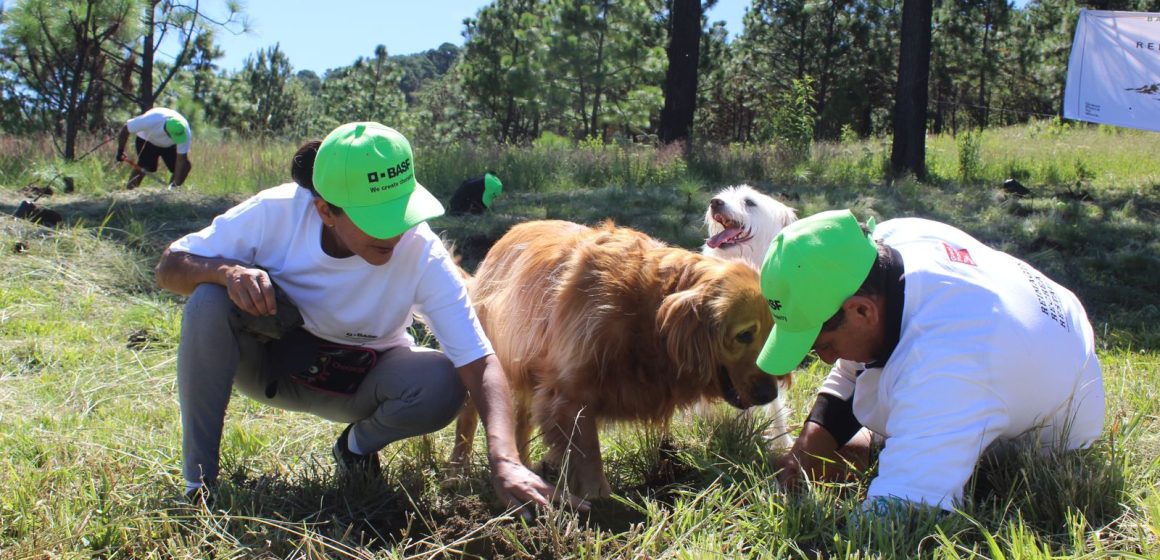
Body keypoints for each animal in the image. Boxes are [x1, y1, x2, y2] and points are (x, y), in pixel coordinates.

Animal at [447, 219, 774, 500]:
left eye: (773, 333)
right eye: (745, 334)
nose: (770, 395)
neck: (648, 309)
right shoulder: (569, 394)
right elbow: (588, 454)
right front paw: (602, 502)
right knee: (468, 417)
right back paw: (457, 469)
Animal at [700, 186, 802, 454]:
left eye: (749, 202)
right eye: (722, 195)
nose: (715, 202)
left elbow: (775, 405)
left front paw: (782, 442)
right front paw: (742, 437)